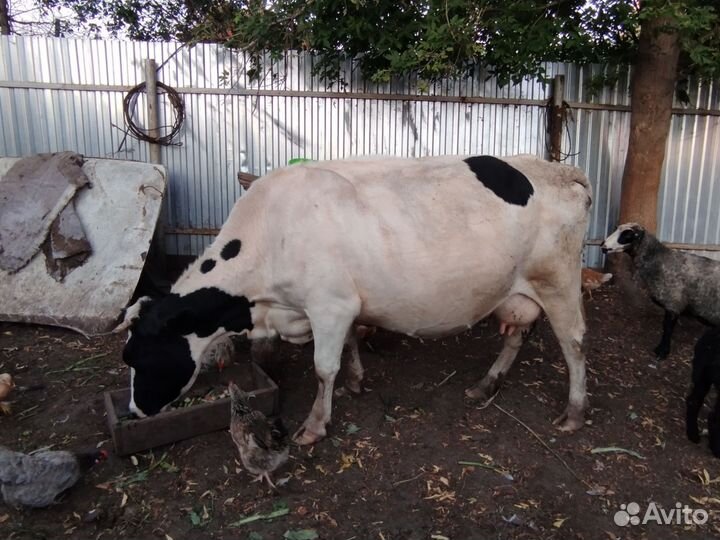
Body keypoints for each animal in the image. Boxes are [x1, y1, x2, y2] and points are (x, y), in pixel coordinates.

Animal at [115, 154, 592, 445]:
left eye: (140, 356)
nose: (136, 411)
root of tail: (559, 169)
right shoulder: (335, 306)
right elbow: (347, 346)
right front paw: (357, 380)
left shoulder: (330, 305)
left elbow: (323, 368)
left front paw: (314, 425)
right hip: (517, 290)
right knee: (516, 336)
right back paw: (486, 384)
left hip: (559, 281)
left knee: (574, 343)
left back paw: (573, 412)